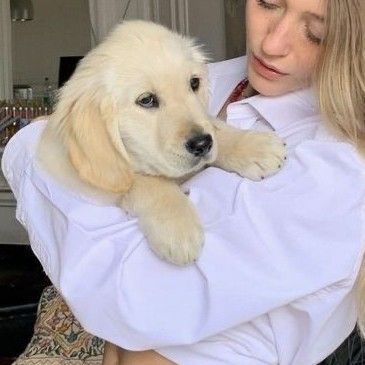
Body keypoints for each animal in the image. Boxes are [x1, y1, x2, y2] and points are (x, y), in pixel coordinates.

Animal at [38, 20, 286, 264]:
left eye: (194, 83)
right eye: (146, 100)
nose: (202, 144)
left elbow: (215, 126)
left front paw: (253, 146)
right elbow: (146, 182)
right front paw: (179, 227)